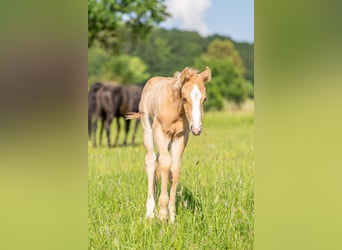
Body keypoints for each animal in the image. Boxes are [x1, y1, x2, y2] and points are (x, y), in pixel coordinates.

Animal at [126, 66, 210, 221]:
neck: (175, 109)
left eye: (204, 99)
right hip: (148, 131)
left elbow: (175, 168)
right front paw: (163, 214)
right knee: (151, 161)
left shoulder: (180, 137)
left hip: (168, 142)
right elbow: (165, 163)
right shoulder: (160, 132)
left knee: (158, 161)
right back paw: (150, 212)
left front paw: (171, 216)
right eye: (184, 98)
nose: (196, 129)